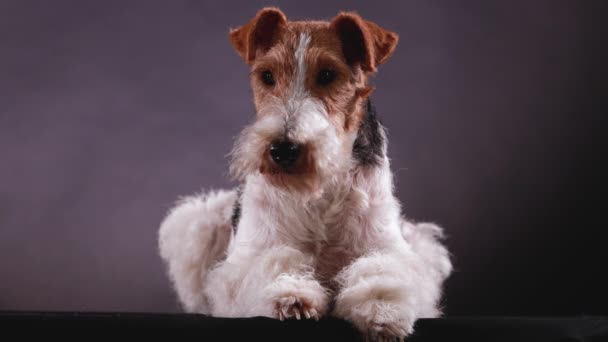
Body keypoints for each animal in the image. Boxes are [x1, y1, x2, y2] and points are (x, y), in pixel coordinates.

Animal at [159, 7, 454, 340]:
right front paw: (291, 297)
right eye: (267, 76)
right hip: (199, 223)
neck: (317, 188)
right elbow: (277, 262)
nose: (283, 150)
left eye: (327, 74)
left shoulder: (384, 246)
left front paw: (382, 310)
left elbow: (379, 270)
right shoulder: (255, 253)